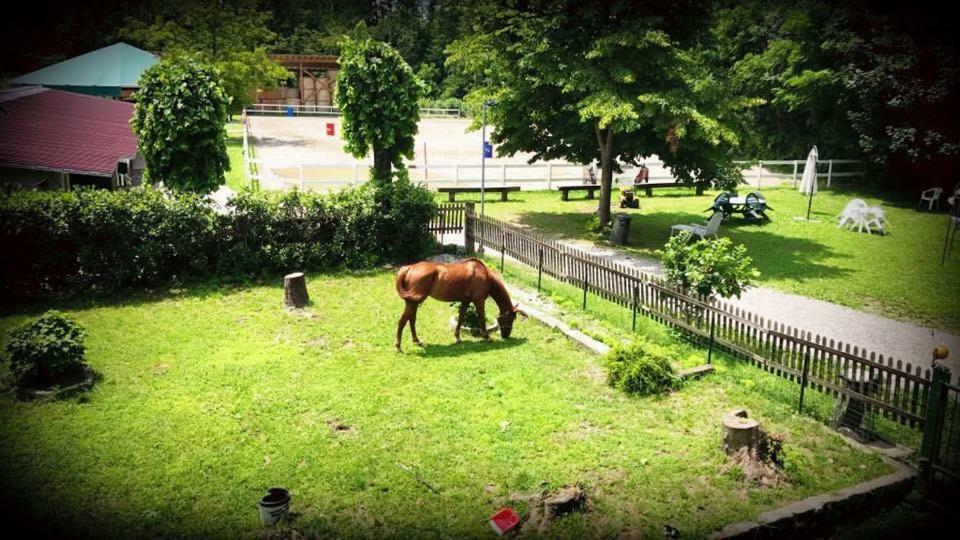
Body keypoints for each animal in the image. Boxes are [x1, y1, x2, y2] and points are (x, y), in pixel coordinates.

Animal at [396, 258, 528, 352]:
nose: (506, 335)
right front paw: (487, 337)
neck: (485, 275)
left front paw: (458, 338)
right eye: (510, 319)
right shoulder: (479, 301)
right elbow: (481, 318)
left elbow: (461, 318)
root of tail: (409, 268)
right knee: (403, 321)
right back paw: (398, 346)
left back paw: (416, 341)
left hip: (413, 302)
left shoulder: (466, 301)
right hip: (413, 302)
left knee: (411, 320)